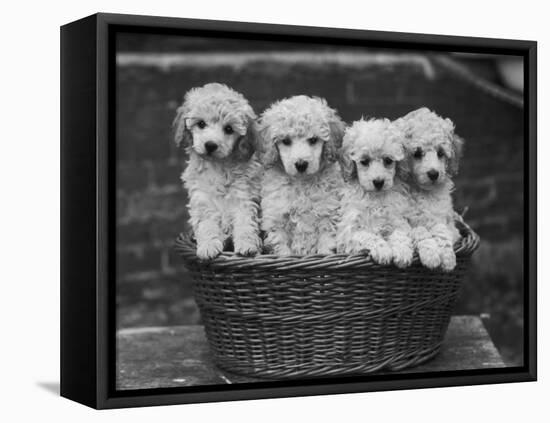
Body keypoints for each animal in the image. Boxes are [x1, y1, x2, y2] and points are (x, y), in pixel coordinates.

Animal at [176, 82, 264, 260]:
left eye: (229, 129)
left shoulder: (244, 196)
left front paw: (248, 245)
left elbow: (245, 222)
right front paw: (208, 247)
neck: (218, 166)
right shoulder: (202, 199)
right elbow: (206, 224)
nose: (210, 145)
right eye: (201, 124)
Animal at [258, 96, 344, 255]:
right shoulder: (276, 218)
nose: (301, 164)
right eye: (286, 141)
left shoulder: (327, 213)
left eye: (313, 139)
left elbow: (326, 242)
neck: (302, 183)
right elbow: (281, 247)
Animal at [336, 117, 414, 266]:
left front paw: (402, 252)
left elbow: (400, 233)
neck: (375, 198)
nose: (378, 182)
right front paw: (383, 250)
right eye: (364, 161)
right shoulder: (350, 231)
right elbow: (368, 236)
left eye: (388, 160)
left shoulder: (397, 218)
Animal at [396, 107, 466, 270]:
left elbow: (441, 230)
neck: (423, 192)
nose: (434, 174)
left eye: (441, 153)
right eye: (417, 153)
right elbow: (420, 230)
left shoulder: (446, 221)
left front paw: (447, 258)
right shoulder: (405, 221)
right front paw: (431, 255)